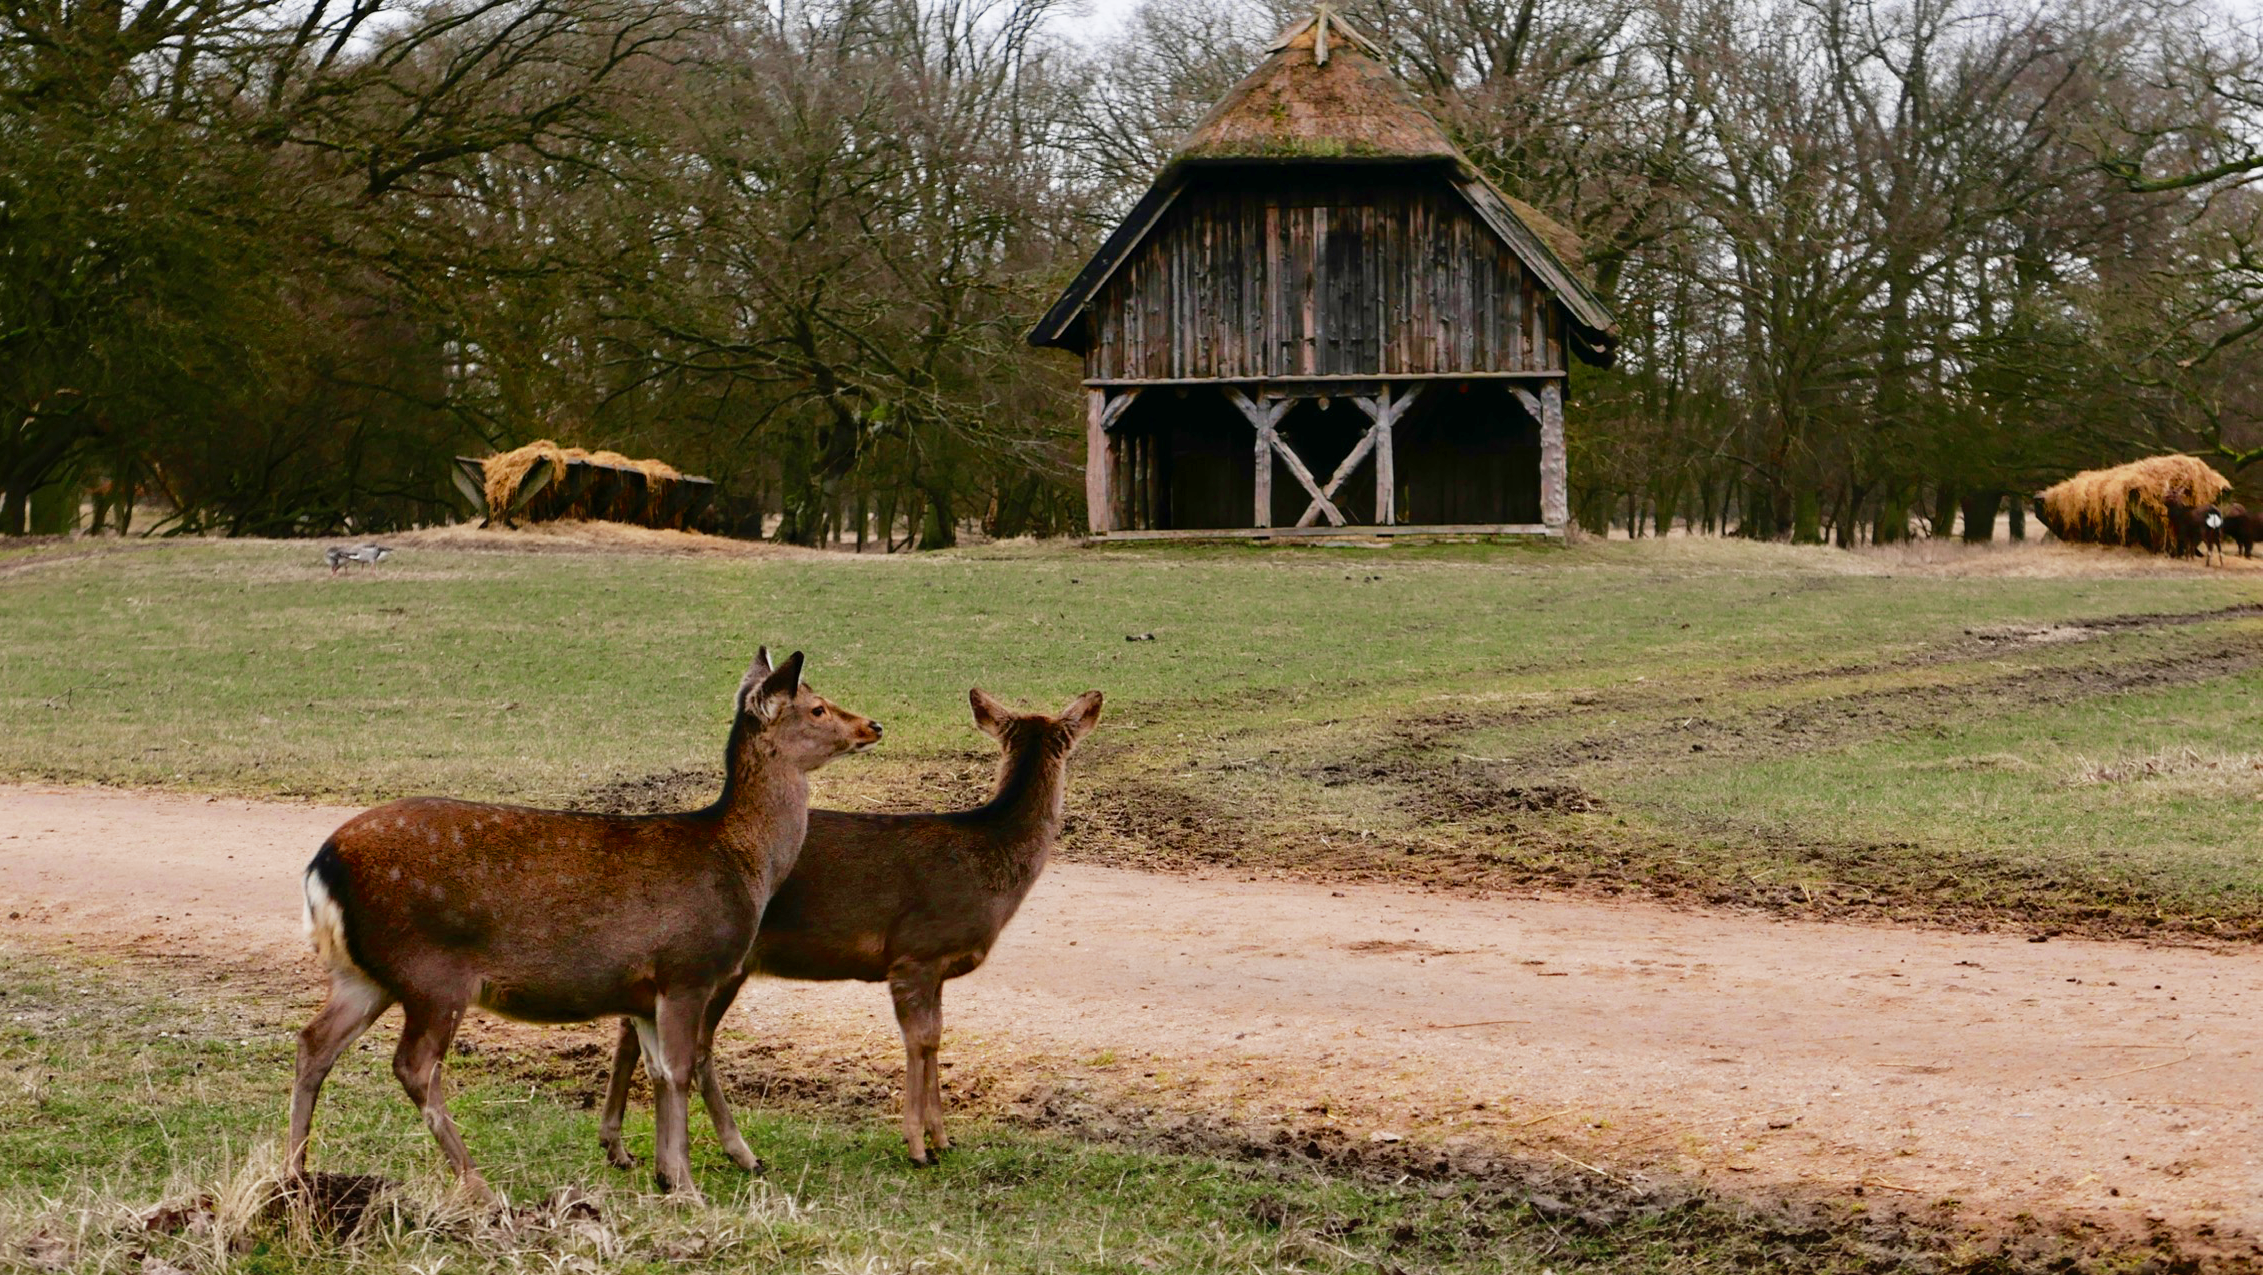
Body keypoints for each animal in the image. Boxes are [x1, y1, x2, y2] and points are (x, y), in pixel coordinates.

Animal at [287, 648, 881, 1202]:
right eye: (817, 706)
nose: (872, 725)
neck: (743, 866)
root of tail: (322, 867)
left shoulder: (645, 990)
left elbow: (657, 1071)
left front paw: (665, 1174)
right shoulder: (687, 968)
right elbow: (680, 1070)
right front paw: (689, 1186)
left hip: (366, 975)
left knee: (314, 1042)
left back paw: (294, 1176)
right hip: (432, 971)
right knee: (414, 1066)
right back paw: (478, 1185)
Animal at [598, 687, 1102, 1169]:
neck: (989, 864)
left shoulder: (937, 969)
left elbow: (937, 1038)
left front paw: (942, 1138)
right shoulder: (915, 951)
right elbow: (919, 1041)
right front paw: (917, 1146)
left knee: (634, 1025)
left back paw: (618, 1147)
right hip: (718, 959)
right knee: (688, 1044)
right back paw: (734, 1152)